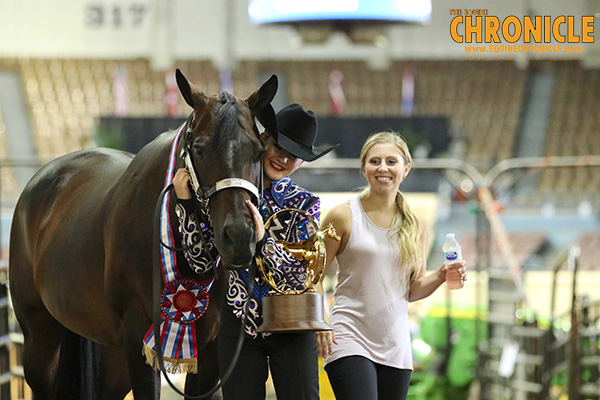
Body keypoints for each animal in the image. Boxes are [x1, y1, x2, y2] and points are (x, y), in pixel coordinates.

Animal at [9, 70, 276, 398]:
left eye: (259, 151)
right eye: (199, 149)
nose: (238, 236)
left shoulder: (211, 352)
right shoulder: (140, 337)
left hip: (110, 351)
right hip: (41, 340)